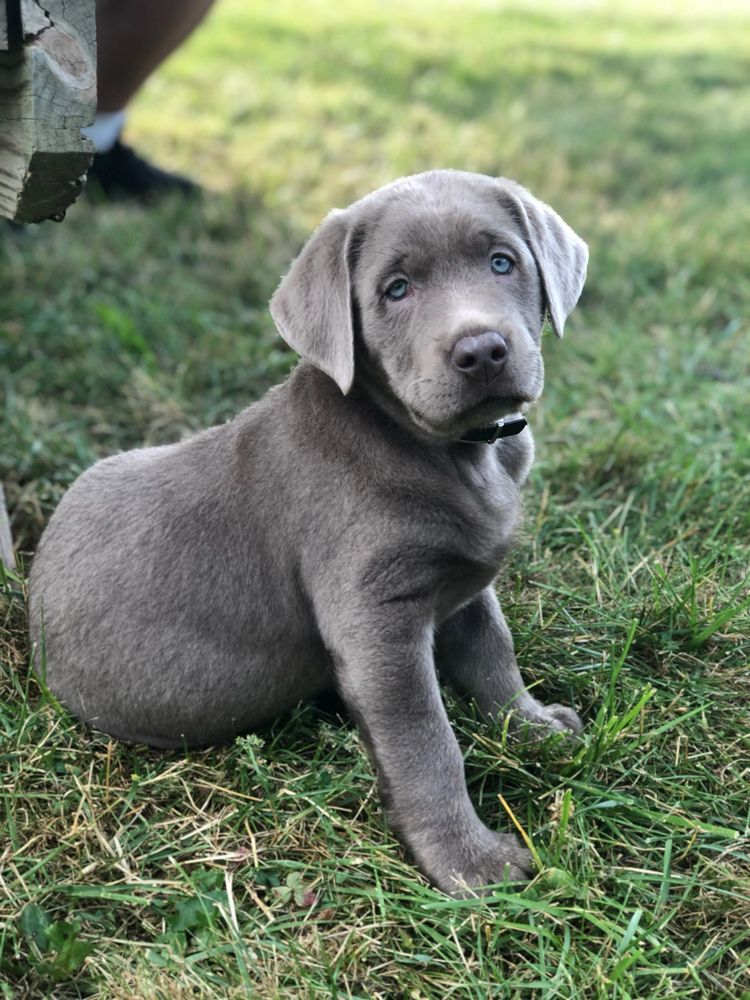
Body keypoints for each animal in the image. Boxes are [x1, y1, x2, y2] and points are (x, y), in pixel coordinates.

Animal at [29, 168, 592, 896]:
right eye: (396, 289)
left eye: (503, 262)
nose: (482, 349)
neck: (447, 452)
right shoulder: (376, 621)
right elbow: (426, 740)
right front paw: (467, 863)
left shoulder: (463, 586)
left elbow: (495, 655)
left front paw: (535, 728)